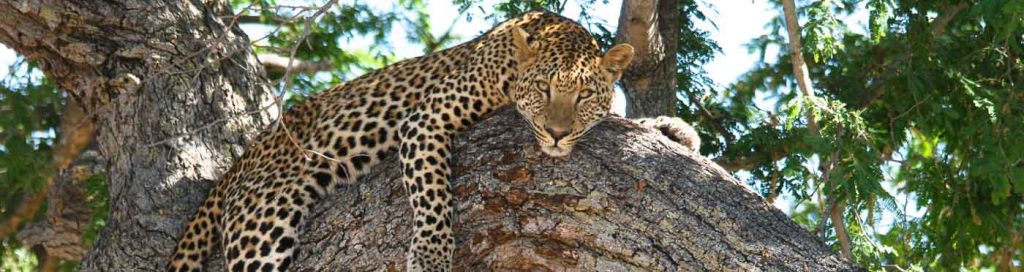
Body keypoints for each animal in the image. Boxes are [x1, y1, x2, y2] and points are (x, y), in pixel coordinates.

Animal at [167, 10, 700, 272]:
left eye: (585, 94)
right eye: (546, 90)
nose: (556, 133)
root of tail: (247, 154)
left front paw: (672, 128)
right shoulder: (425, 120)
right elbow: (433, 196)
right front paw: (430, 255)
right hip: (262, 222)